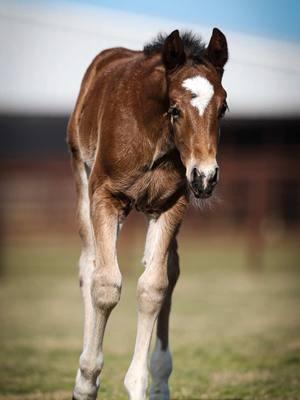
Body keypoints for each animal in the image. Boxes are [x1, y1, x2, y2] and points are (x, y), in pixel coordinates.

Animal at [67, 28, 227, 400]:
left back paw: (160, 381)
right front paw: (88, 380)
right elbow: (105, 285)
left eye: (224, 107)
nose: (206, 176)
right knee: (89, 265)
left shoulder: (173, 204)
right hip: (83, 176)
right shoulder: (105, 196)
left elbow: (154, 287)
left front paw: (140, 384)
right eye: (175, 109)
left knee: (169, 270)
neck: (154, 134)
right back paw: (84, 378)